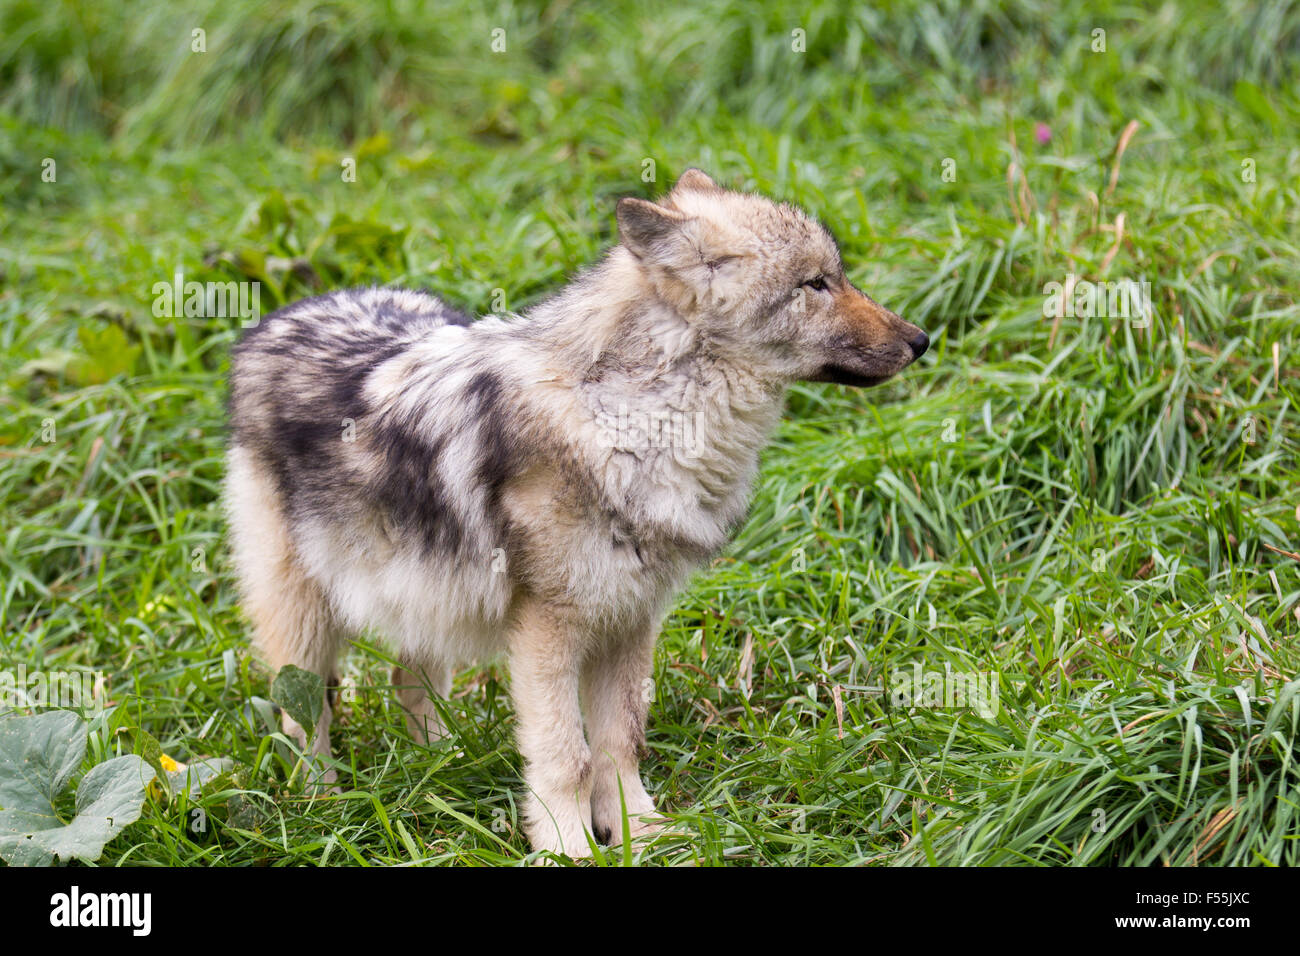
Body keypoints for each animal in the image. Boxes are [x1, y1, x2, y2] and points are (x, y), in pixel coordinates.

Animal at [228, 167, 930, 858]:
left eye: (838, 275)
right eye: (815, 284)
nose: (922, 341)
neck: (639, 422)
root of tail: (277, 317)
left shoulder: (632, 618)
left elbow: (621, 742)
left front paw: (641, 832)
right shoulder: (549, 628)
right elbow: (567, 755)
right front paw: (568, 847)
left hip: (426, 597)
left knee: (408, 685)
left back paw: (442, 771)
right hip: (304, 619)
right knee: (303, 715)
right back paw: (322, 807)